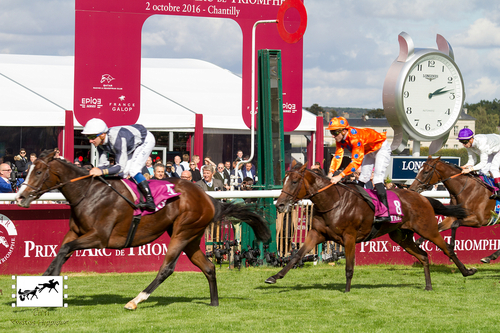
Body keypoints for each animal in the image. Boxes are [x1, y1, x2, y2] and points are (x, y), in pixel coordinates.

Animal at [15, 150, 272, 308]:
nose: (20, 197)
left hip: (182, 232)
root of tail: (209, 198)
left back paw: (136, 300)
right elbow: (61, 250)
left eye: (39, 172)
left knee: (166, 269)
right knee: (208, 267)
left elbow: (65, 249)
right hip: (191, 237)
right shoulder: (76, 233)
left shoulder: (99, 237)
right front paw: (41, 284)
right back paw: (214, 302)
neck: (88, 193)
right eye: (29, 170)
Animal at [266, 163, 476, 290]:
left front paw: (347, 290)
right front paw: (274, 277)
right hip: (401, 236)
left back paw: (467, 271)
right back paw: (428, 286)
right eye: (284, 181)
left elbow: (349, 266)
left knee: (447, 248)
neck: (333, 201)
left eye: (294, 181)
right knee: (424, 256)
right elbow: (297, 256)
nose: (280, 205)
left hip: (428, 229)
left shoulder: (349, 238)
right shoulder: (316, 234)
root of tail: (422, 198)